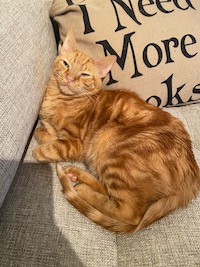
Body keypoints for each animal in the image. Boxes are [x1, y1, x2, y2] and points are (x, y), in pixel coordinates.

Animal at [33, 30, 200, 233]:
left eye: (84, 74)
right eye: (66, 64)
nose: (70, 78)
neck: (58, 98)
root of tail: (192, 180)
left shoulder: (75, 143)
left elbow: (49, 147)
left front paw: (39, 150)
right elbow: (41, 132)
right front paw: (48, 134)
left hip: (111, 147)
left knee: (127, 212)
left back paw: (82, 189)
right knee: (108, 191)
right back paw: (76, 174)